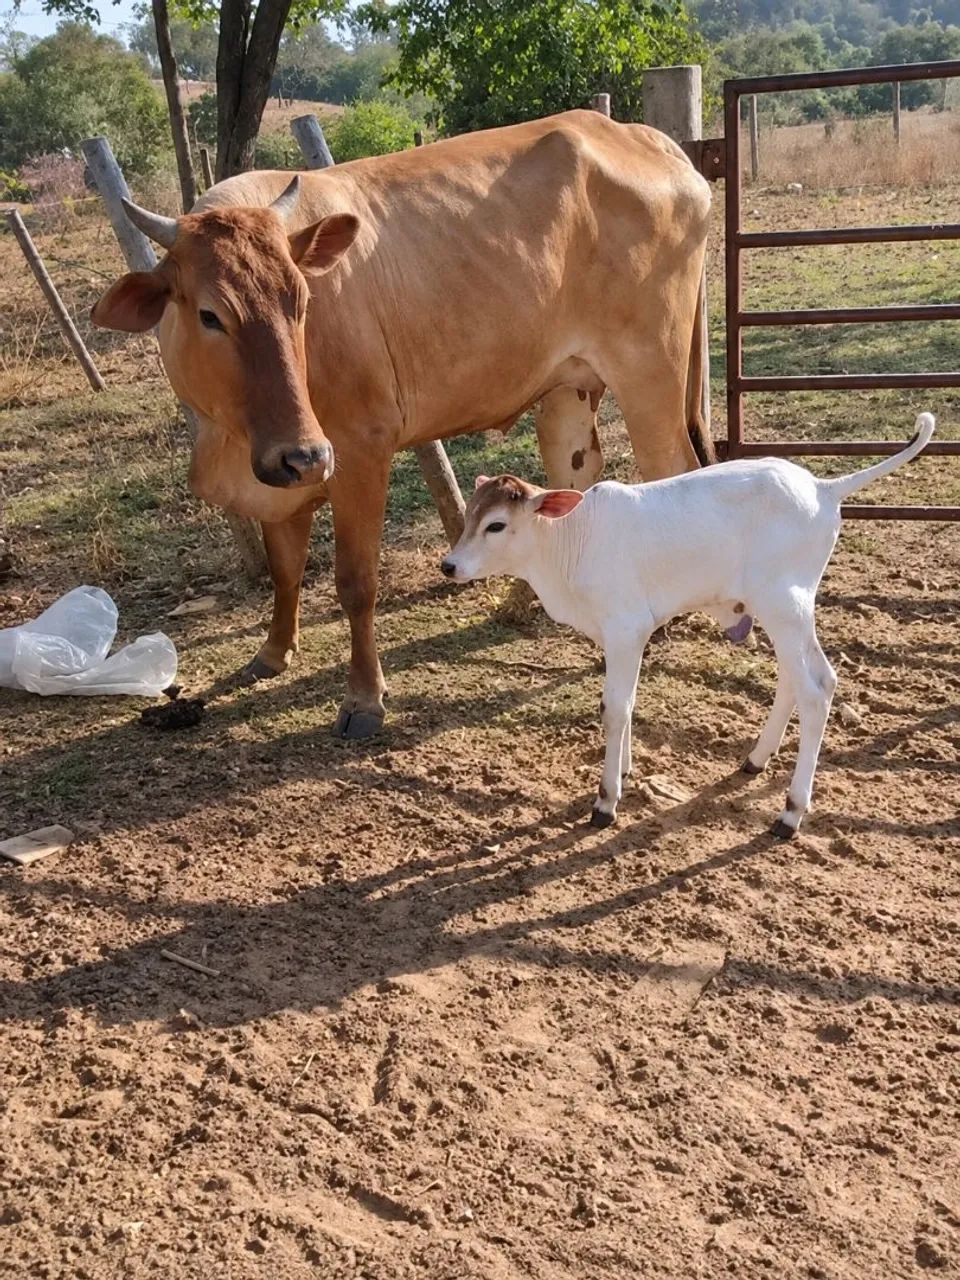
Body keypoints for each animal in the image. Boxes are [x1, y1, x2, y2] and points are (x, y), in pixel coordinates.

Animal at [92, 110, 711, 738]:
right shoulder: (279, 471)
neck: (229, 439)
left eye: (302, 303)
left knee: (672, 468)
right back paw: (521, 599)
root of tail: (645, 137)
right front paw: (271, 653)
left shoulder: (358, 450)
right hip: (568, 387)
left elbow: (356, 582)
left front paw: (364, 698)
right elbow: (285, 567)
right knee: (574, 477)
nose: (305, 455)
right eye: (209, 314)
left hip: (650, 373)